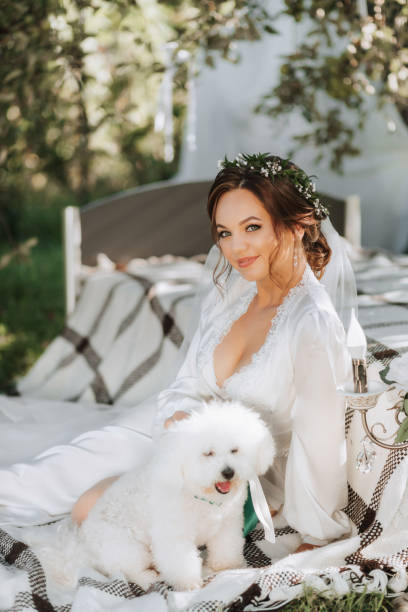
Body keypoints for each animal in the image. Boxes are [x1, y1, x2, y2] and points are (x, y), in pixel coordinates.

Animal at [26, 402, 274, 592]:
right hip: (130, 550)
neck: (200, 495)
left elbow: (226, 547)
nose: (228, 472)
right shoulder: (173, 537)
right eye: (208, 453)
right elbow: (180, 561)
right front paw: (188, 584)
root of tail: (84, 547)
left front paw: (227, 566)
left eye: (234, 450)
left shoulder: (227, 526)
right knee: (127, 572)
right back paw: (149, 578)